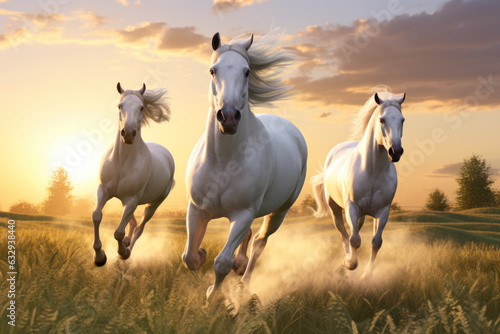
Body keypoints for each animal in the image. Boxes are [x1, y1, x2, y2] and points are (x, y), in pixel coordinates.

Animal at [91, 83, 175, 266]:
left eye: (141, 107)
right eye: (120, 106)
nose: (128, 134)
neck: (122, 162)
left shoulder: (132, 200)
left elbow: (118, 232)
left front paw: (122, 252)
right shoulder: (103, 190)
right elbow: (96, 216)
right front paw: (99, 257)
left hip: (153, 204)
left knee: (139, 227)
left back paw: (127, 249)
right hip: (124, 201)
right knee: (133, 222)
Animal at [182, 30, 306, 298]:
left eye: (247, 71)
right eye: (212, 70)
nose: (228, 118)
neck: (223, 161)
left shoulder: (243, 214)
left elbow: (221, 263)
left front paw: (211, 295)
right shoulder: (197, 209)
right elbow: (188, 256)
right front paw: (201, 255)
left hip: (280, 211)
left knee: (259, 242)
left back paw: (243, 282)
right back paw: (239, 266)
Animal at [312, 88, 406, 276]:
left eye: (402, 120)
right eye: (382, 120)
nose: (396, 151)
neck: (373, 172)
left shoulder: (383, 211)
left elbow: (376, 242)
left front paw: (367, 275)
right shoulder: (352, 207)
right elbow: (354, 239)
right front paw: (350, 264)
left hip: (362, 214)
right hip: (336, 209)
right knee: (343, 234)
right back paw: (346, 260)